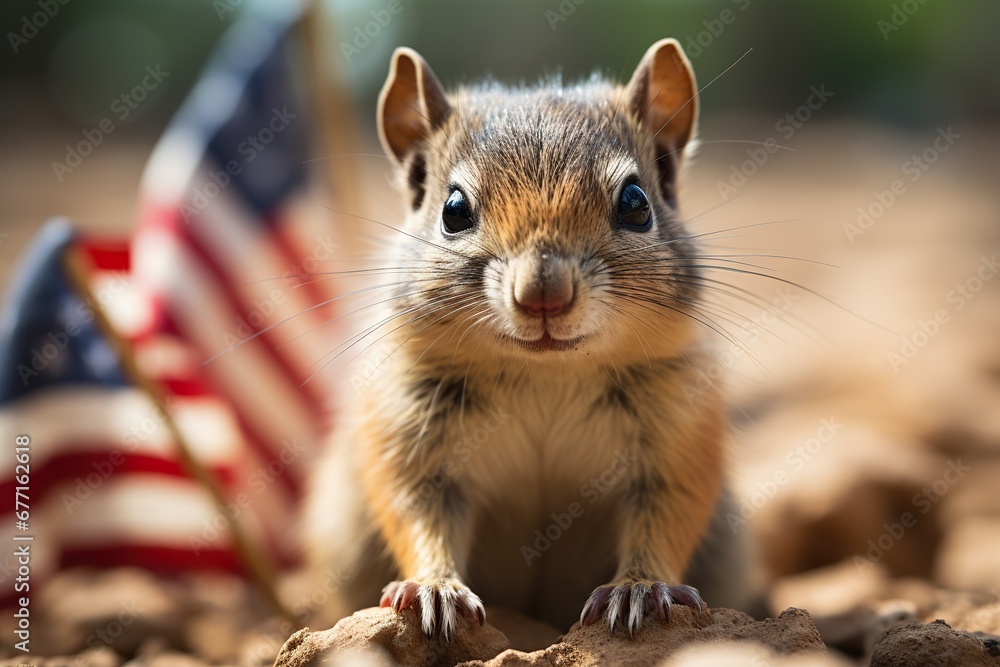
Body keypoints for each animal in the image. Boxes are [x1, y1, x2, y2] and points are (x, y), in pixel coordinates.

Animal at [305, 39, 757, 642]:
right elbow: (414, 510)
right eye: (453, 210)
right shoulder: (409, 433)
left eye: (636, 202)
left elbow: (668, 515)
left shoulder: (679, 436)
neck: (546, 371)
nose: (544, 293)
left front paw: (639, 587)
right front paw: (434, 588)